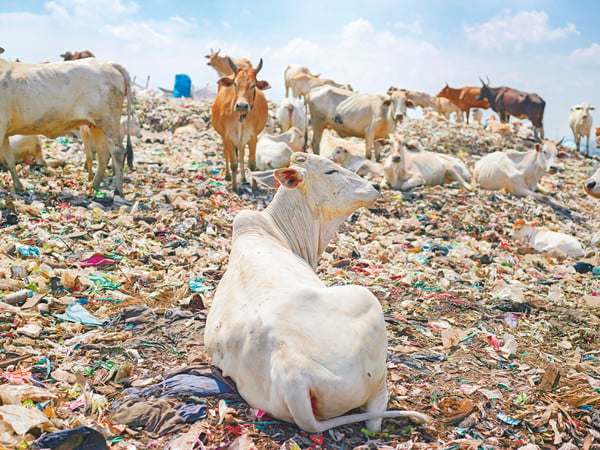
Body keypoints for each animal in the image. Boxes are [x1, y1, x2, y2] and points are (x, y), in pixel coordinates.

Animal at [0, 56, 132, 195]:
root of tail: (109, 63)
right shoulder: (4, 131)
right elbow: (9, 161)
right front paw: (18, 186)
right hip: (96, 125)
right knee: (104, 155)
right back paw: (93, 186)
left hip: (109, 122)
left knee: (118, 152)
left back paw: (117, 191)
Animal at [204, 153, 428, 434]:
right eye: (330, 171)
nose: (375, 186)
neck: (274, 229)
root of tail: (294, 374)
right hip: (367, 309)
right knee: (375, 416)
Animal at [210, 57, 268, 191]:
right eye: (235, 84)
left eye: (253, 85)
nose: (242, 105)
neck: (241, 116)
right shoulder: (228, 136)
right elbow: (233, 163)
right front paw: (234, 187)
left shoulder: (252, 137)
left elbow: (252, 164)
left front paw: (254, 187)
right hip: (224, 137)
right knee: (226, 153)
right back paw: (227, 176)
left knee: (241, 154)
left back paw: (242, 178)